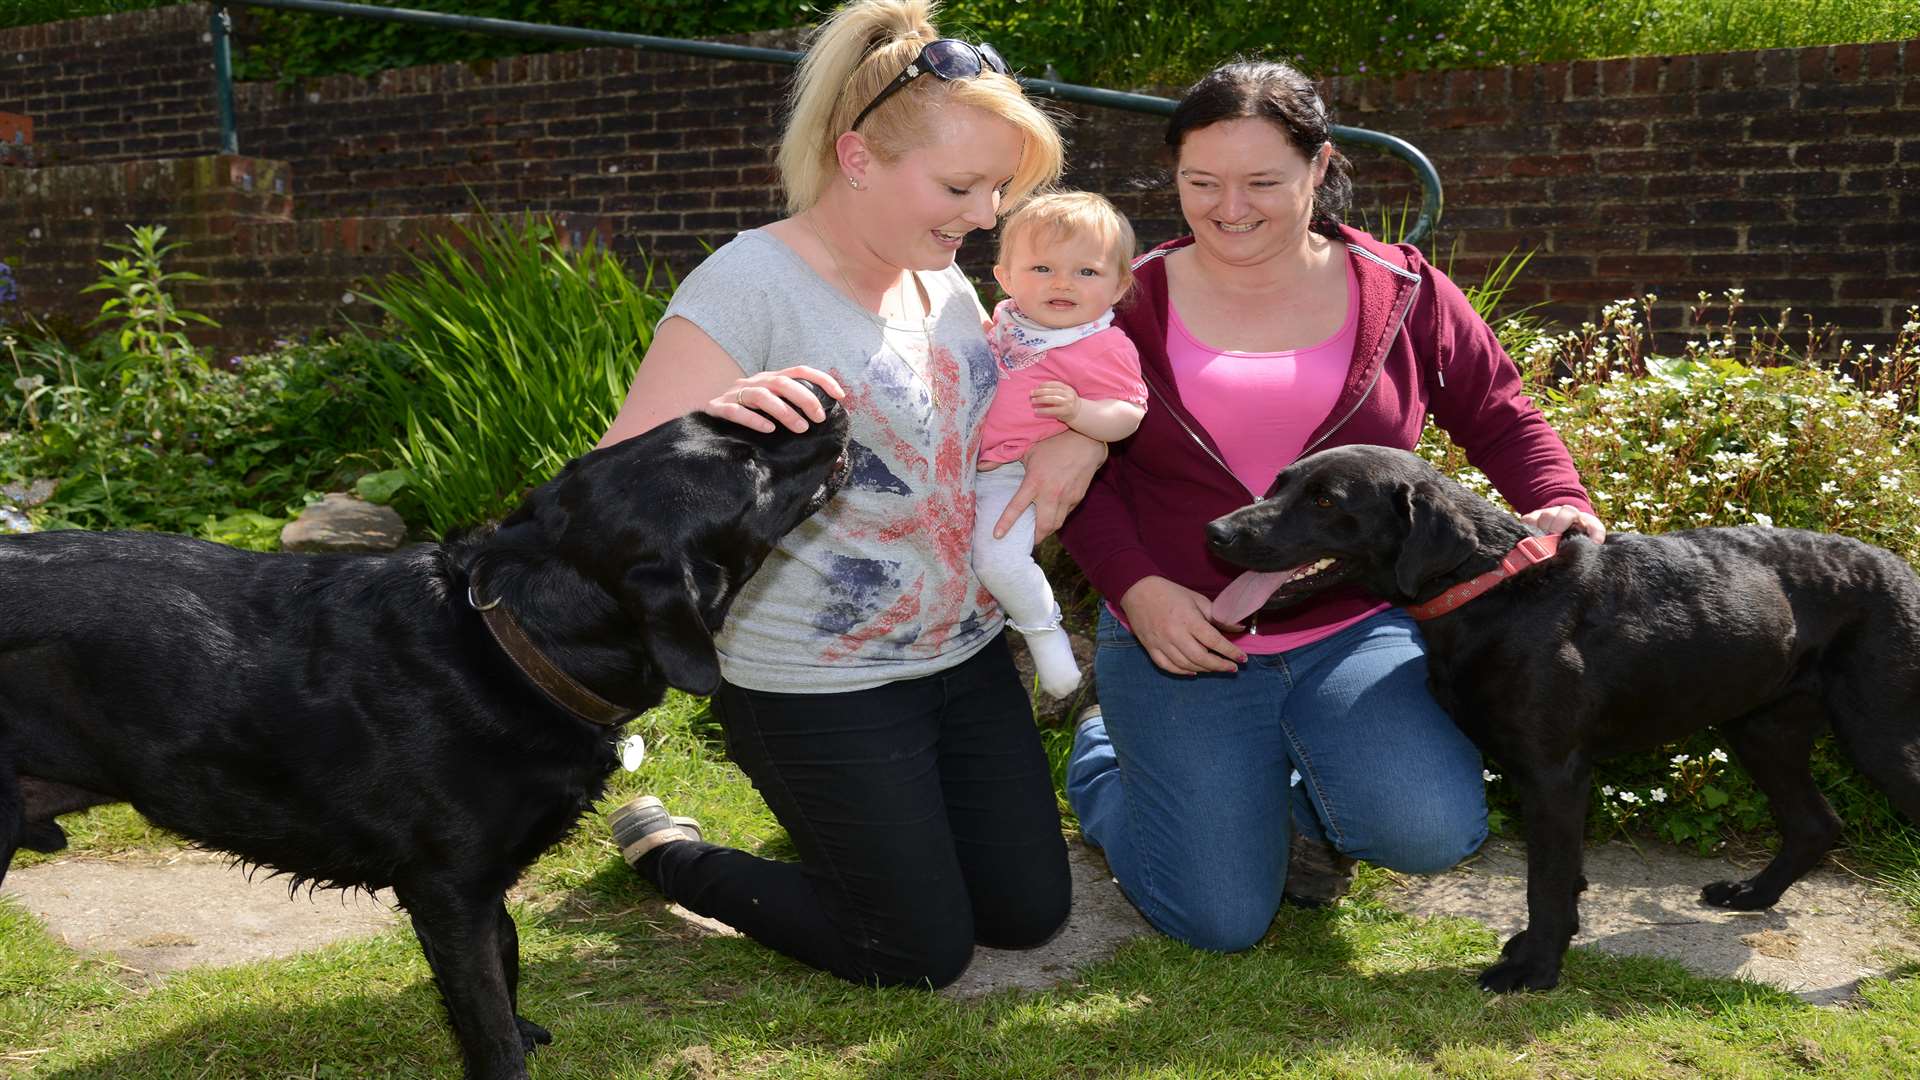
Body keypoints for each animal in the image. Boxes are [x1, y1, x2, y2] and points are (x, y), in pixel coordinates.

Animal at [0, 386, 848, 1076]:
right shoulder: (446, 892)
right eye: (749, 468)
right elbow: (487, 1017)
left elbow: (508, 963)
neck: (508, 645)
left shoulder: (482, 886)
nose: (831, 401)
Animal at [1205, 443, 1920, 991]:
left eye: (1327, 500)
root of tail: (1900, 566)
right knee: (1815, 823)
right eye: (1280, 483)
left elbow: (1545, 880)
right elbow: (1560, 876)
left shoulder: (1553, 773)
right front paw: (1538, 948)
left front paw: (1535, 970)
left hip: (1882, 735)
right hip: (1762, 726)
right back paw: (1753, 896)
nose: (1217, 532)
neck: (1489, 586)